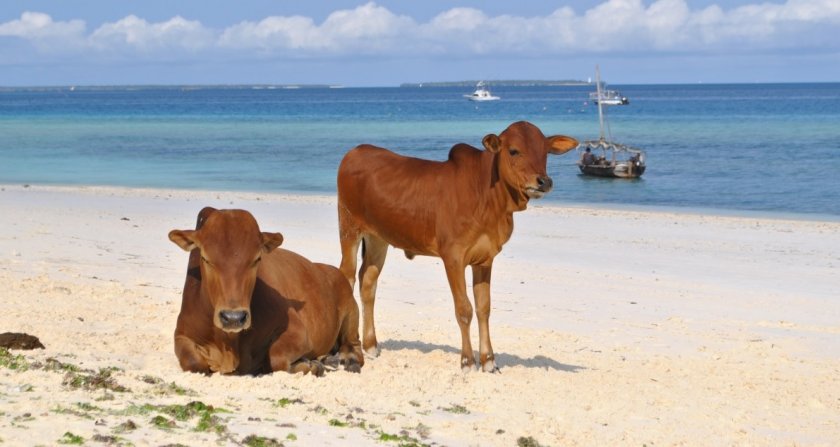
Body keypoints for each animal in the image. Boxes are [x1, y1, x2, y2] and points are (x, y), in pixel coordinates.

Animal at [169, 208, 362, 376]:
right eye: (206, 259)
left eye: (256, 259)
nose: (233, 318)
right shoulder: (181, 334)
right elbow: (194, 363)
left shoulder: (298, 332)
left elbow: (276, 359)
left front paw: (310, 365)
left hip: (352, 312)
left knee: (355, 348)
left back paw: (345, 361)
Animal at [334, 121, 576, 372]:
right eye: (513, 151)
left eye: (545, 152)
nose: (544, 181)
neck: (488, 197)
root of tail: (355, 152)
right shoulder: (453, 258)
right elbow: (464, 309)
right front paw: (467, 361)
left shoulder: (485, 259)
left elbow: (483, 308)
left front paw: (488, 360)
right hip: (349, 229)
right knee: (347, 275)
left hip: (378, 239)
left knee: (368, 282)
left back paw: (371, 345)